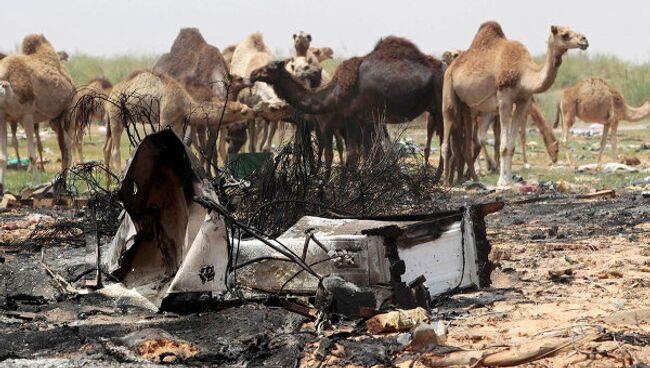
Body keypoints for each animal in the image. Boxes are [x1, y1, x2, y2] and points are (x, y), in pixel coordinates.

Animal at [0, 35, 75, 196]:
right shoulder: (2, 117)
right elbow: (2, 157)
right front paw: (1, 189)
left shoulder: (27, 116)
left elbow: (32, 156)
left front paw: (37, 186)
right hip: (54, 120)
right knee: (64, 150)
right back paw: (62, 186)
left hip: (67, 113)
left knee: (68, 149)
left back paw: (63, 187)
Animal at [103, 72, 253, 175]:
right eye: (243, 112)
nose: (254, 112)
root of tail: (111, 94)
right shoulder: (164, 120)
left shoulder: (179, 123)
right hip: (116, 114)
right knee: (115, 149)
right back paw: (119, 178)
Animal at [249, 36, 446, 167]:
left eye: (269, 67)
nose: (252, 74)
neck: (335, 92)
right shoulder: (366, 120)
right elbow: (370, 153)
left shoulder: (352, 117)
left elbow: (354, 153)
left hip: (440, 108)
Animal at [440, 20, 588, 187]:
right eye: (564, 34)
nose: (584, 40)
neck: (524, 74)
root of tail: (452, 65)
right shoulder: (504, 98)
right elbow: (504, 145)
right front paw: (502, 182)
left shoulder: (523, 101)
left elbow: (511, 145)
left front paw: (508, 180)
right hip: (449, 89)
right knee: (448, 126)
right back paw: (446, 182)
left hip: (467, 105)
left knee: (467, 141)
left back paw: (465, 179)